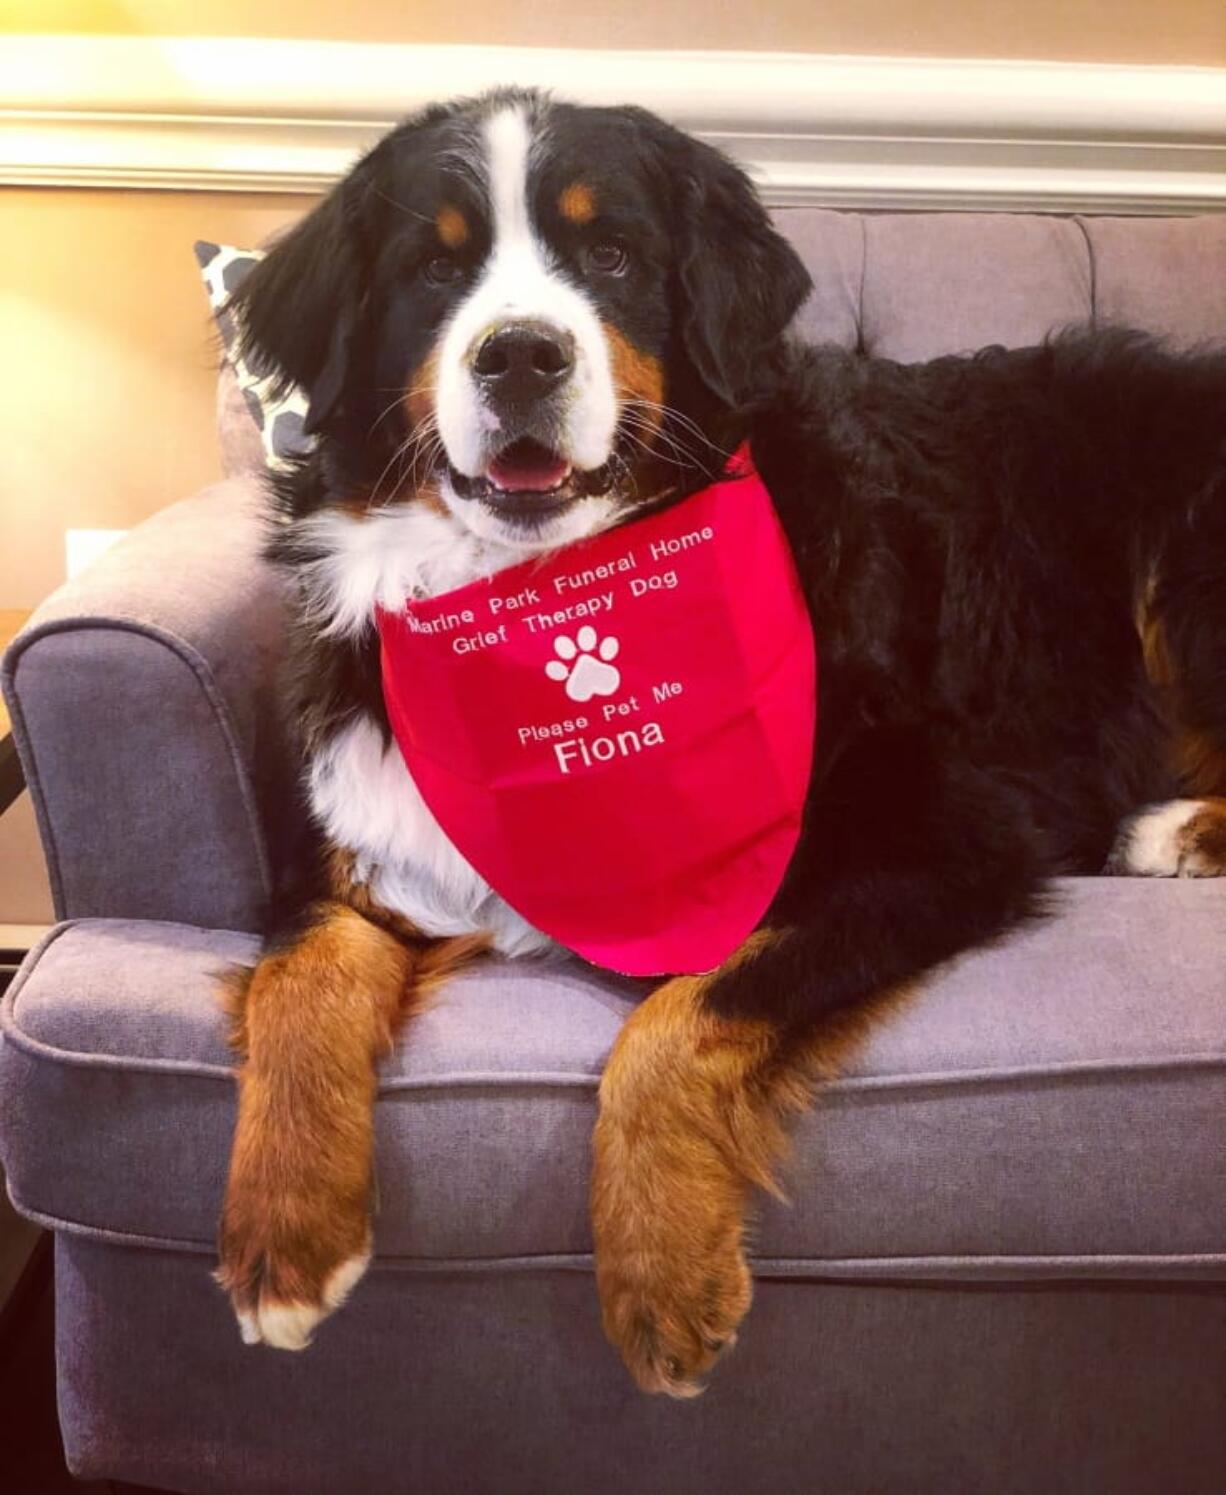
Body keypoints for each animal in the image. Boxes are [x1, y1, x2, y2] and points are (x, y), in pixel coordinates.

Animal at [218, 87, 1226, 1393]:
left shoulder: (940, 831)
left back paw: (1173, 830)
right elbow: (297, 973)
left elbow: (683, 1013)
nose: (520, 354)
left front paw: (661, 1275)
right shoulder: (366, 828)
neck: (550, 596)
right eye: (432, 268)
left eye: (609, 255)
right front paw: (283, 1236)